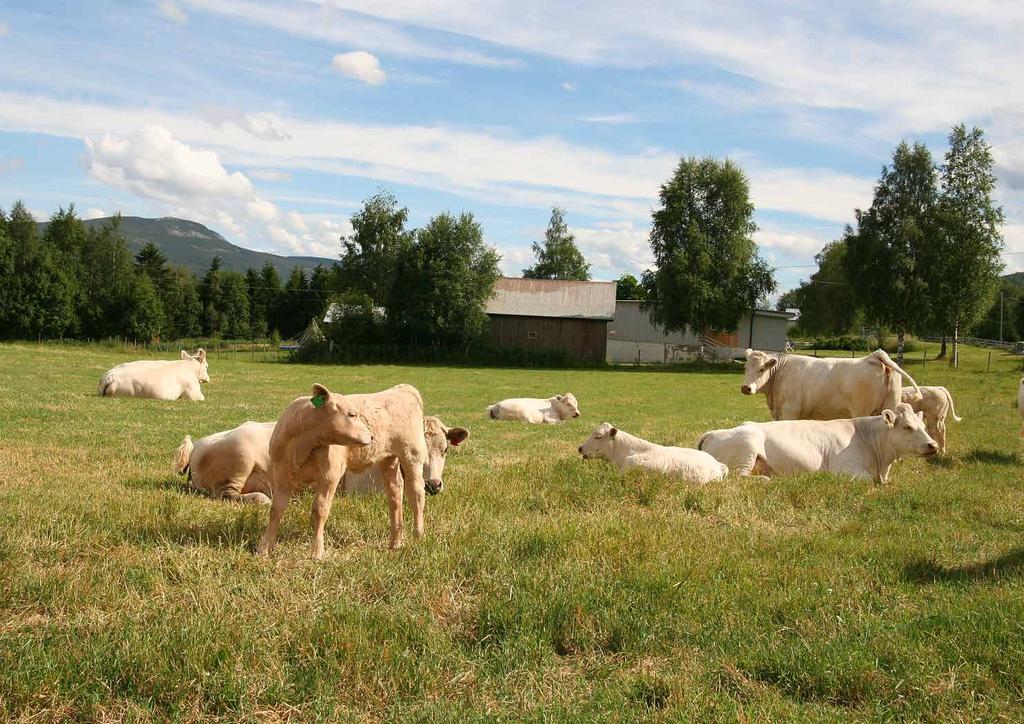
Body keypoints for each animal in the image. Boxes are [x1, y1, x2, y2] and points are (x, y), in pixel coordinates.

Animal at [260, 385, 432, 561]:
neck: (302, 445)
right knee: (395, 494)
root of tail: (402, 388)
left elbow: (320, 510)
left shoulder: (330, 476)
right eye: (352, 414)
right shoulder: (280, 475)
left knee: (416, 493)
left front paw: (317, 551)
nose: (371, 436)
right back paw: (395, 542)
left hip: (412, 454)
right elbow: (276, 510)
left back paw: (418, 536)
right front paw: (265, 549)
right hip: (388, 459)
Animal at [696, 405, 937, 483]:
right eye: (907, 427)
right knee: (739, 477)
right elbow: (869, 480)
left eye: (922, 424)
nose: (933, 445)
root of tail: (712, 433)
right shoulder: (844, 468)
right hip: (747, 446)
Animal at [737, 348, 921, 421]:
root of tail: (874, 356)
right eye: (745, 367)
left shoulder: (790, 410)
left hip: (862, 411)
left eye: (761, 369)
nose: (746, 388)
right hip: (892, 403)